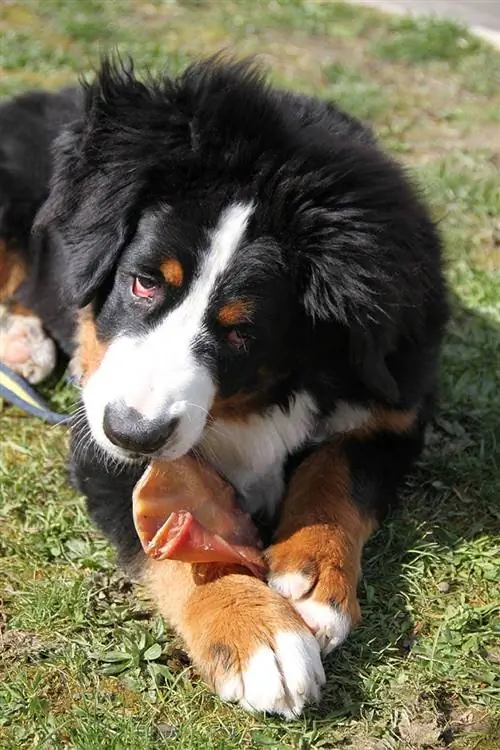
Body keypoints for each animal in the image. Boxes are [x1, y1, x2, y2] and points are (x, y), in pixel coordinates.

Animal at [0, 57, 450, 716]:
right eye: (142, 283)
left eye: (242, 330)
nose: (133, 434)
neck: (254, 400)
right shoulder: (96, 429)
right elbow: (176, 544)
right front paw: (259, 636)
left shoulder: (394, 407)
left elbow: (339, 475)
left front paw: (312, 576)